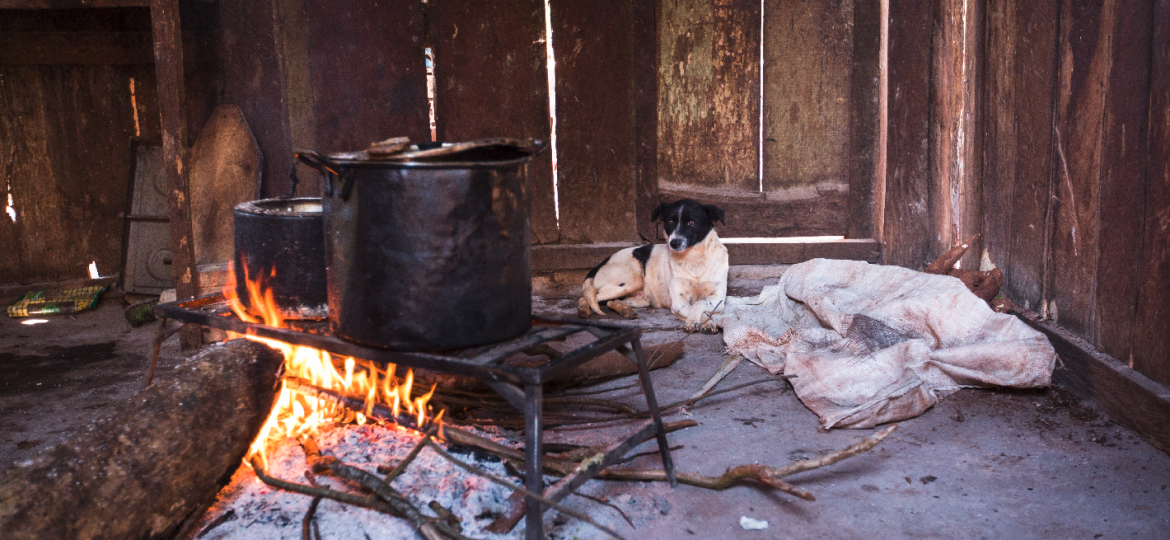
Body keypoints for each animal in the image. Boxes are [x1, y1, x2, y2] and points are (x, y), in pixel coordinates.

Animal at [580, 198, 725, 334]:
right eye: (670, 222)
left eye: (691, 222)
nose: (674, 243)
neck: (694, 259)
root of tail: (601, 263)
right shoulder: (678, 303)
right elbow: (697, 308)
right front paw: (696, 321)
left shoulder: (719, 299)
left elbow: (700, 303)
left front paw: (707, 323)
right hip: (632, 280)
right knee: (588, 295)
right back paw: (583, 310)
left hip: (641, 298)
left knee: (609, 301)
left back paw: (625, 310)